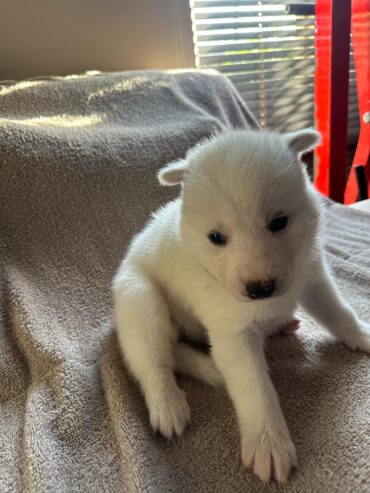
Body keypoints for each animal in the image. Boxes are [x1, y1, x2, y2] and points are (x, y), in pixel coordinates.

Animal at [112, 129, 370, 482]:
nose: (260, 289)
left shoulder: (312, 278)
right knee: (154, 358)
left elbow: (339, 312)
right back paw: (170, 402)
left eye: (279, 222)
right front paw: (268, 443)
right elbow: (255, 387)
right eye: (216, 237)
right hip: (140, 300)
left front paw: (363, 334)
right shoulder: (232, 332)